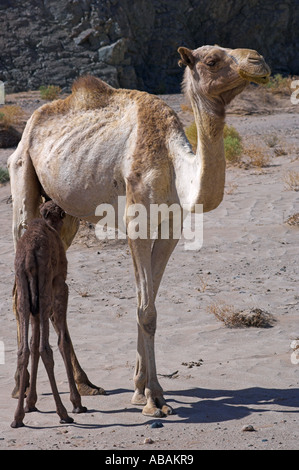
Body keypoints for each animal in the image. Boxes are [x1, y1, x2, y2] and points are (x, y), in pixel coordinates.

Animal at [11, 200, 86, 428]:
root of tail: (28, 258)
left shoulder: (33, 305)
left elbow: (32, 345)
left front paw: (31, 402)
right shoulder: (61, 284)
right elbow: (63, 341)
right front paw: (77, 402)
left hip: (25, 295)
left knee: (24, 350)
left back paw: (17, 418)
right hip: (45, 290)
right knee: (46, 348)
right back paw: (64, 413)